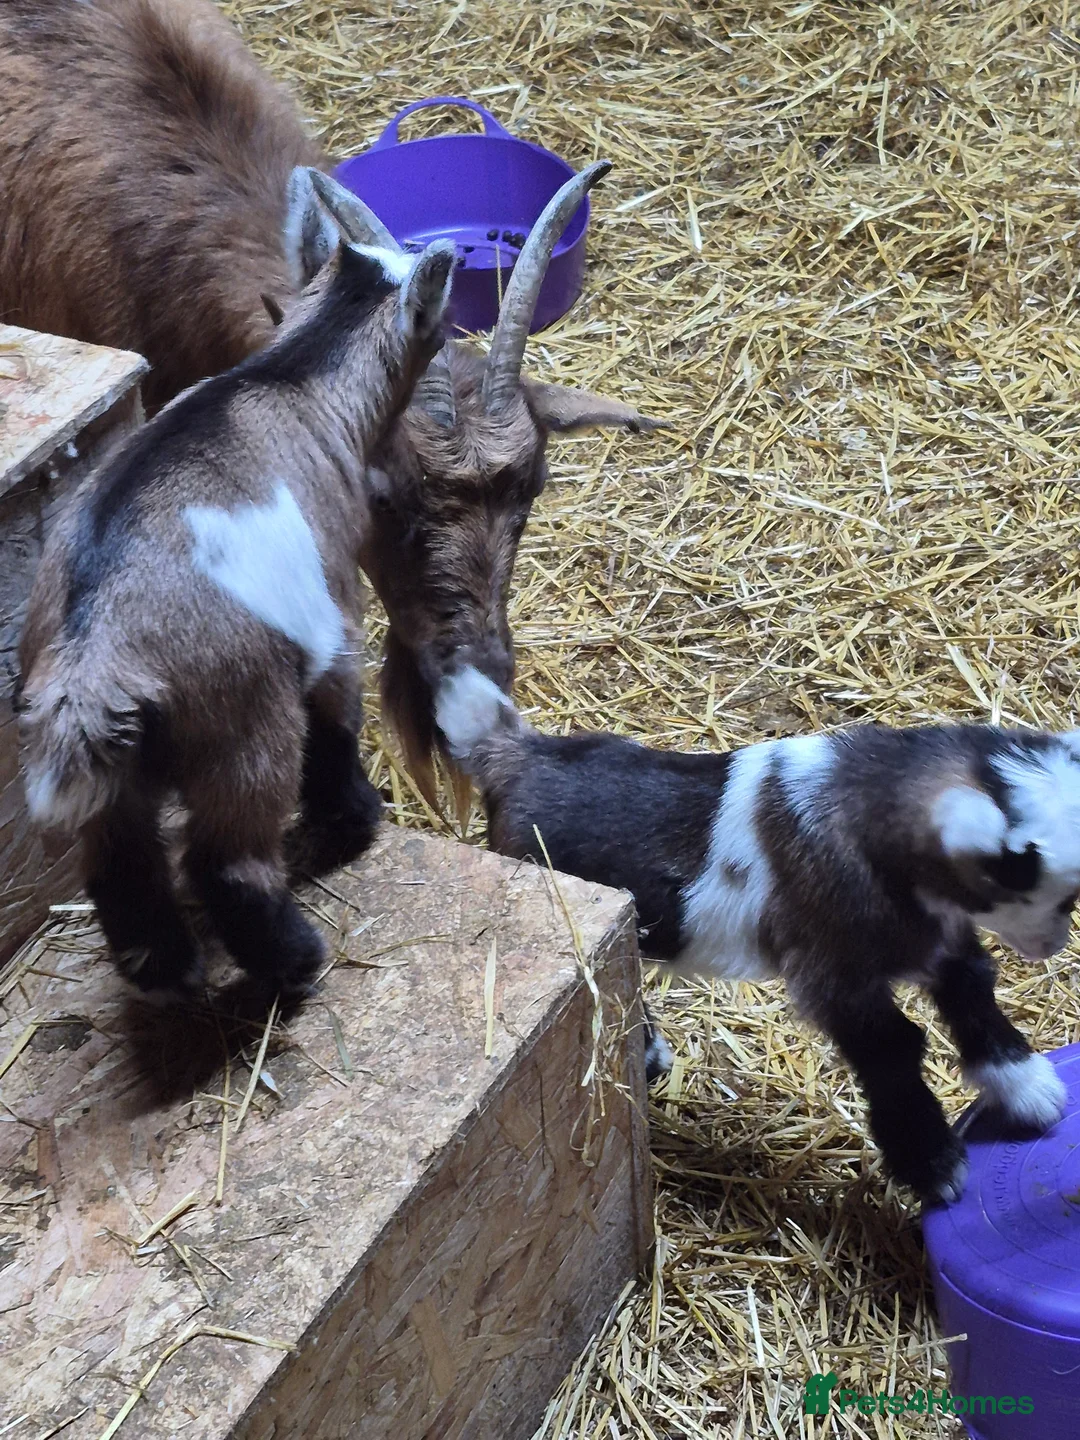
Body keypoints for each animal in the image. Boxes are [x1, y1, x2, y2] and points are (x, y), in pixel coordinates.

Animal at [18, 225, 456, 1000]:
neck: (296, 376)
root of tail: (92, 658)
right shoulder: (333, 611)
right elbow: (336, 721)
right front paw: (356, 817)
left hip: (119, 773)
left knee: (121, 865)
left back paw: (165, 970)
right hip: (243, 728)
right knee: (227, 862)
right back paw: (296, 963)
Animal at [435, 667, 1080, 1205]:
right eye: (1048, 888)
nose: (1053, 947)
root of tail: (512, 754)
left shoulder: (936, 940)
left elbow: (973, 987)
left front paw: (1030, 1090)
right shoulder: (834, 975)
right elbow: (894, 1049)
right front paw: (935, 1165)